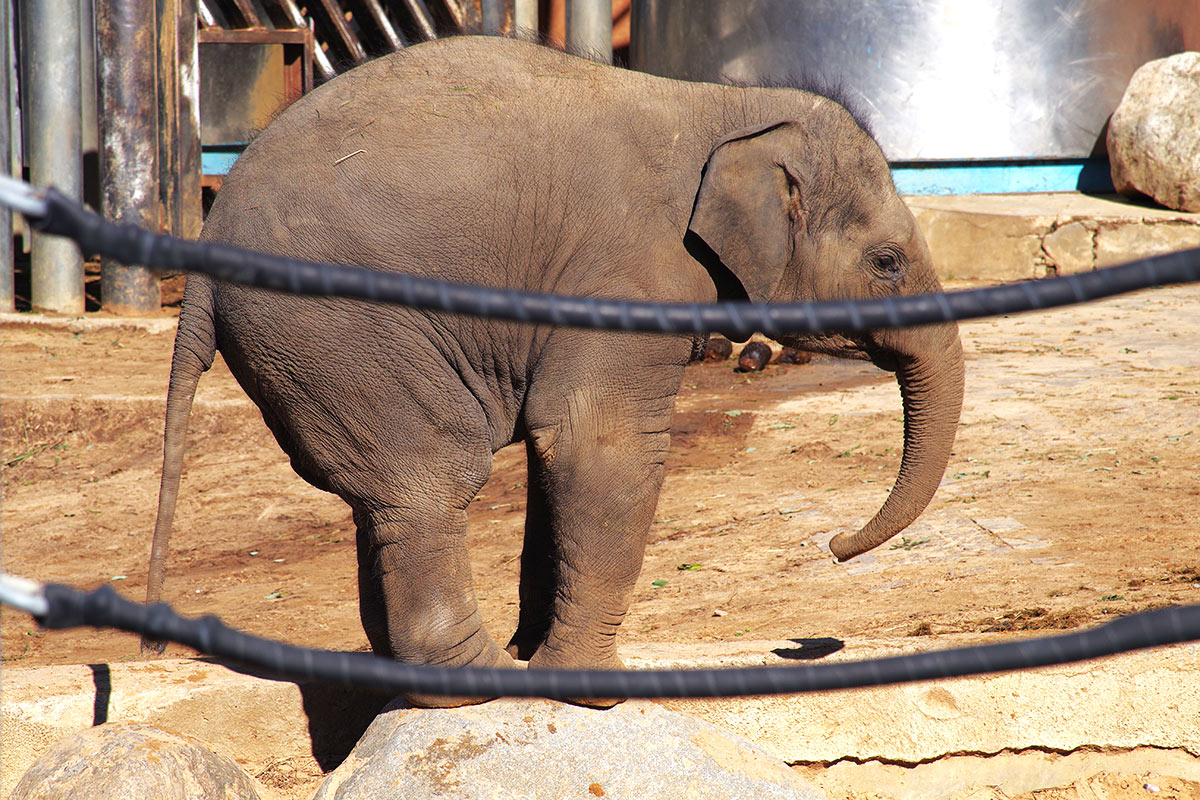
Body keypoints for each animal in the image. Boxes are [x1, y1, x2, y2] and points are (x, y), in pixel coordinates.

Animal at [145, 34, 964, 705]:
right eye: (887, 265)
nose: (834, 547)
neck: (726, 107)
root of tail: (208, 238)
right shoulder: (630, 272)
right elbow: (597, 441)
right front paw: (592, 691)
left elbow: (558, 453)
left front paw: (543, 656)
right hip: (337, 325)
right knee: (433, 473)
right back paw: (479, 683)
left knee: (376, 492)